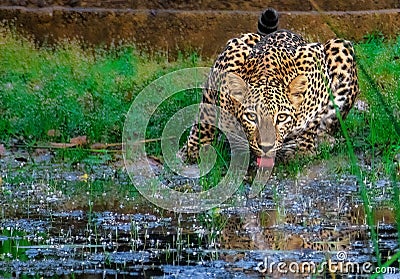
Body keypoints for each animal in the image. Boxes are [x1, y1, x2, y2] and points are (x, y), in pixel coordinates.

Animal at [181, 13, 360, 171]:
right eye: (251, 117)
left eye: (281, 117)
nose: (266, 147)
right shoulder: (229, 56)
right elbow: (205, 115)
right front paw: (194, 150)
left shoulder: (315, 61)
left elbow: (314, 119)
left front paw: (304, 149)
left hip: (340, 47)